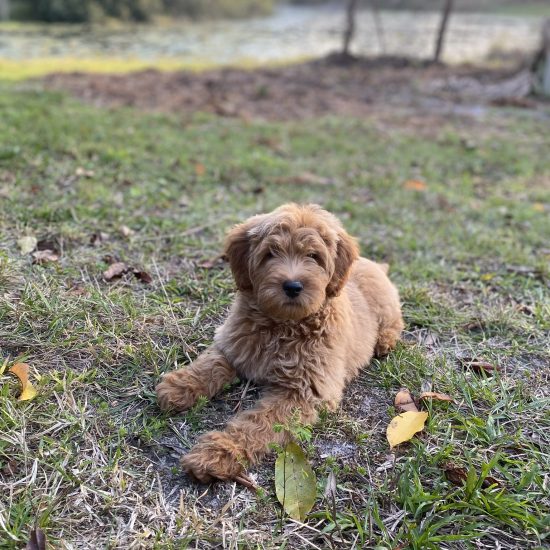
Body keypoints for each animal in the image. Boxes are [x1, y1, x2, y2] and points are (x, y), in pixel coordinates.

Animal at [156, 204, 406, 488]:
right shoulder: (235, 343)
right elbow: (212, 363)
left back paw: (384, 341)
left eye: (313, 256)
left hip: (386, 305)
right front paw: (180, 386)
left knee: (395, 321)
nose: (292, 286)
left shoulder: (303, 392)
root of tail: (372, 263)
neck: (282, 326)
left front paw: (218, 453)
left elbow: (258, 424)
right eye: (270, 254)